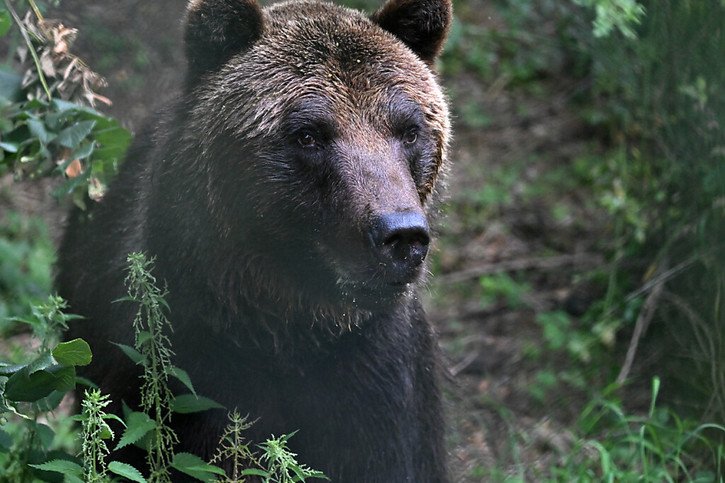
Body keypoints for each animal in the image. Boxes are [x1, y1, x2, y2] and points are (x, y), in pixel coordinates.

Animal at [58, 0, 452, 480]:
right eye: (309, 134)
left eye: (409, 129)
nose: (401, 235)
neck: (286, 321)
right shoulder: (182, 370)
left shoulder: (378, 387)